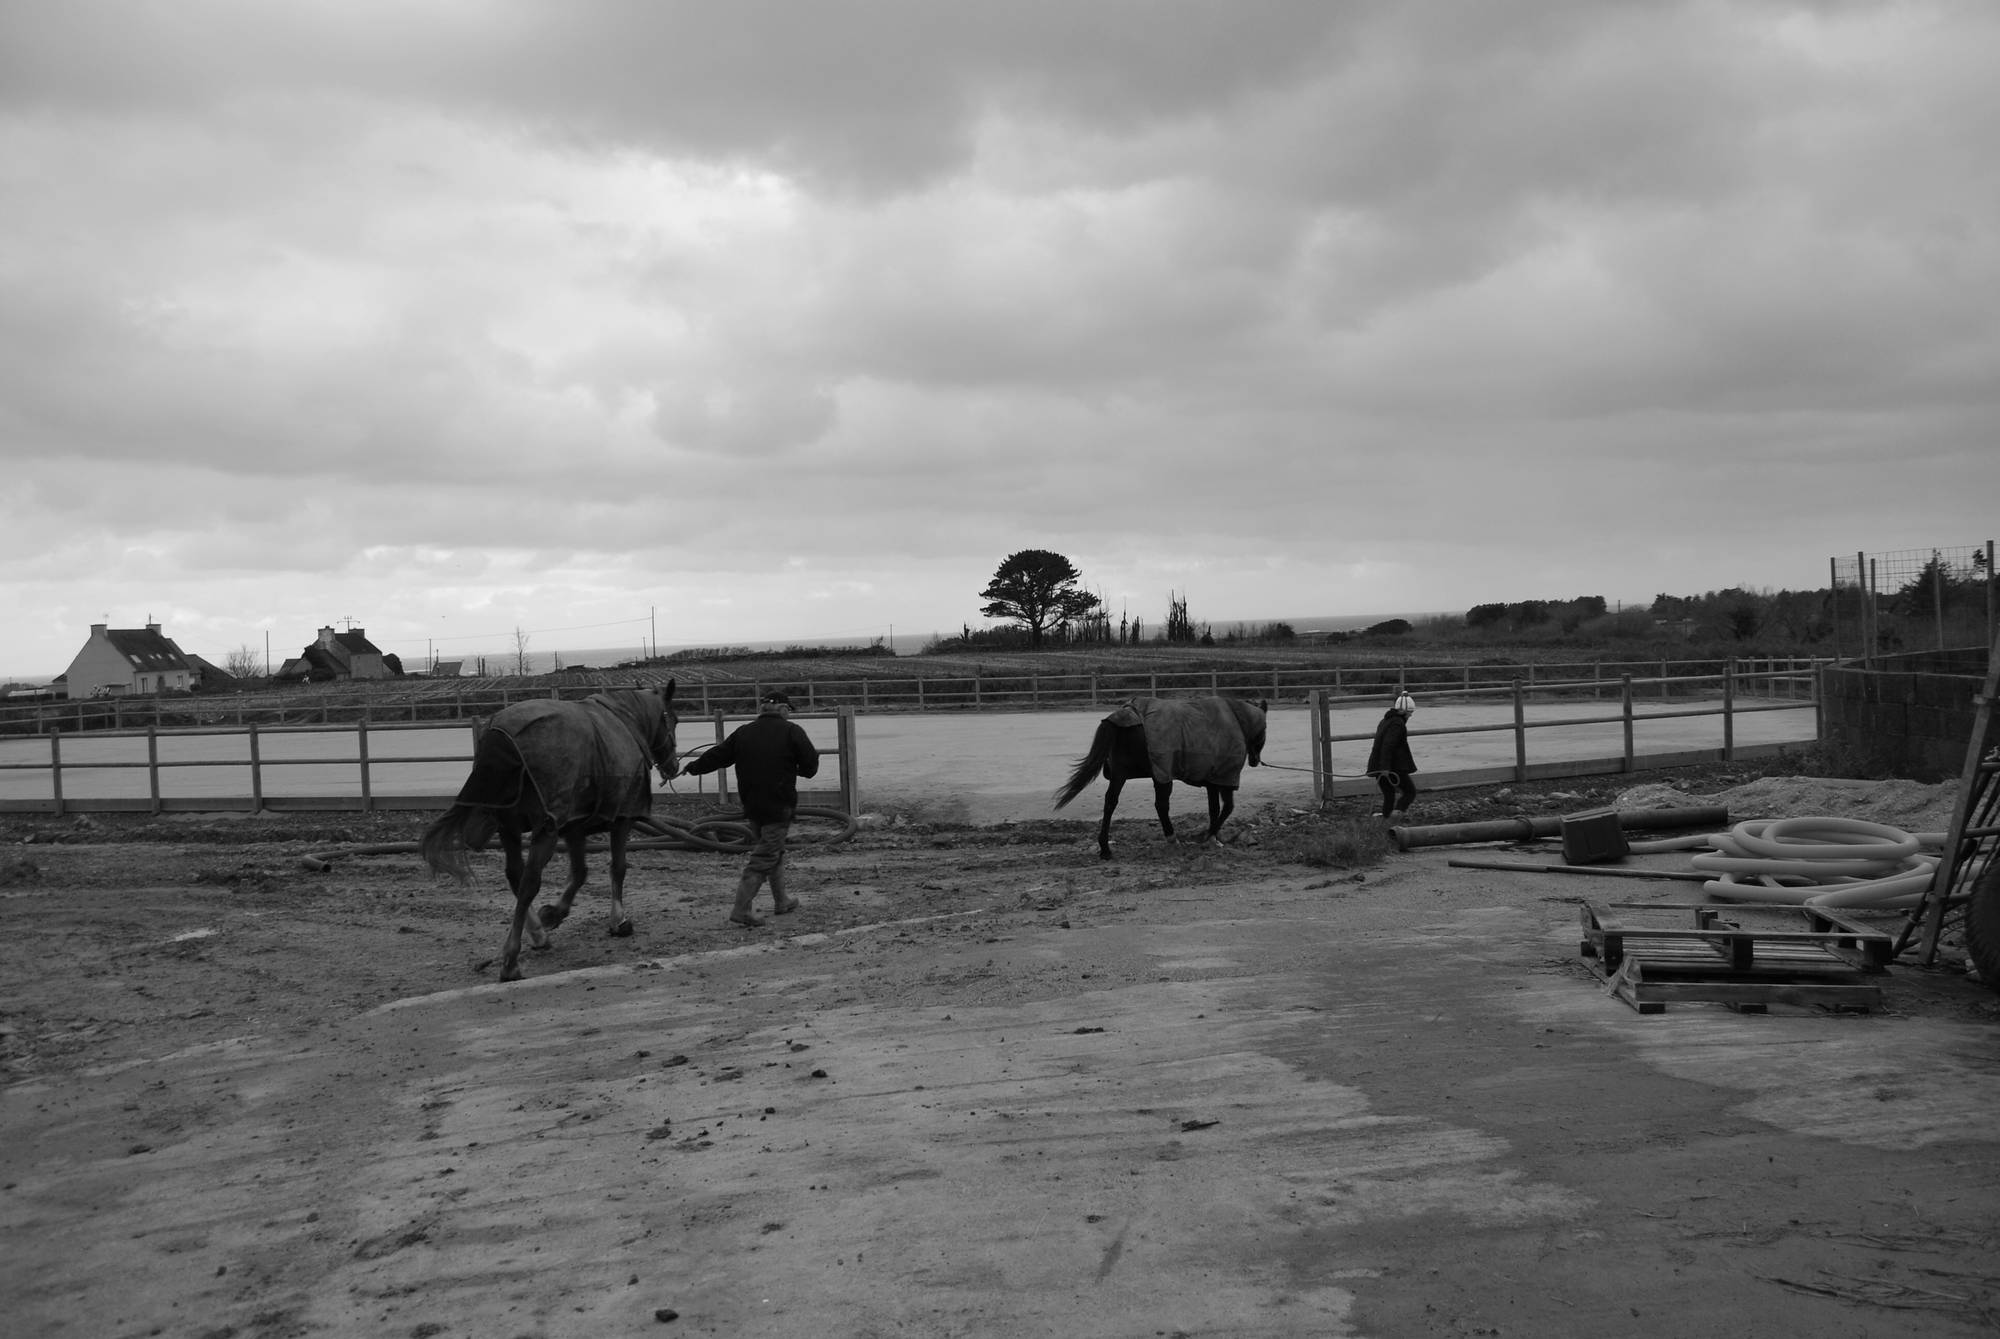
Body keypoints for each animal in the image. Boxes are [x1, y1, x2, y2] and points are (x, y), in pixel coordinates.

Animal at [1048, 699, 1264, 867]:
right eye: (1264, 732)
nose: (1255, 761)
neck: (1235, 719)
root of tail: (1124, 714)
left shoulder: (1212, 781)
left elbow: (1214, 809)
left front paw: (1214, 837)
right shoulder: (1223, 778)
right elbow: (1227, 808)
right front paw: (1209, 836)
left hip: (1122, 774)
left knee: (1110, 803)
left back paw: (1105, 848)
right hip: (1161, 774)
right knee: (1160, 805)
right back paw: (1172, 839)